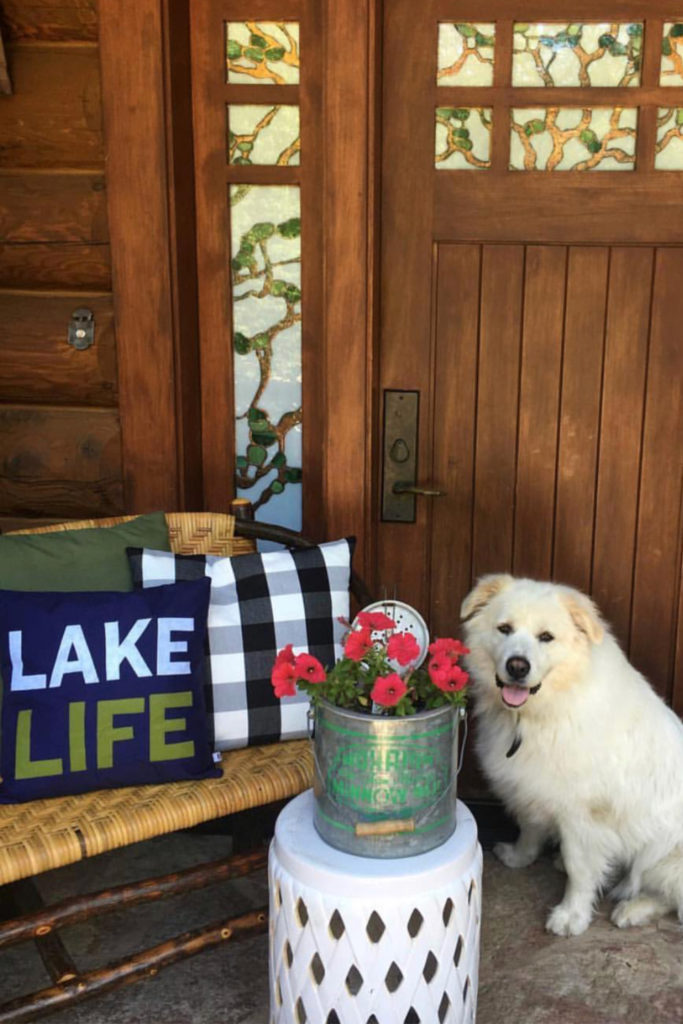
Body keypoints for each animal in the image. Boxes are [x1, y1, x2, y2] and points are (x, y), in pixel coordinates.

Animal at [458, 577, 683, 937]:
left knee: (665, 893)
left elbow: (580, 870)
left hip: (662, 857)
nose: (517, 666)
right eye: (504, 629)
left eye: (546, 637)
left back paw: (631, 909)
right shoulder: (531, 783)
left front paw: (571, 916)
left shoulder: (583, 815)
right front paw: (519, 857)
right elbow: (529, 827)